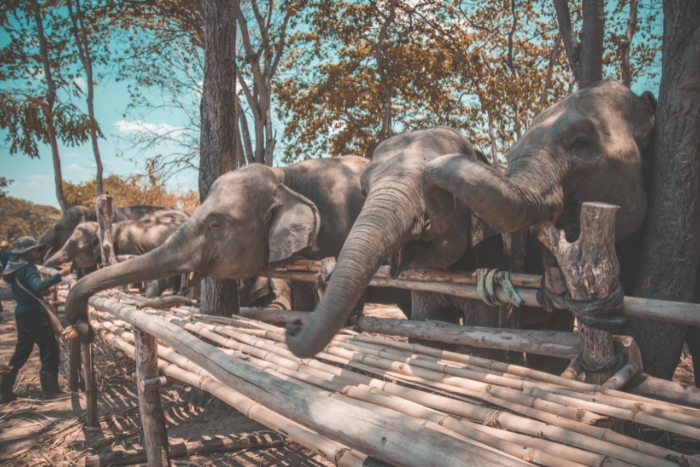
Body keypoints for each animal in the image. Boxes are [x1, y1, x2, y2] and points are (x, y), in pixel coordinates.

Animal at [284, 80, 656, 368]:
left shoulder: (496, 250)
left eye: (581, 143)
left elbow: (483, 335)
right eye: (363, 190)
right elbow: (428, 330)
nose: (292, 328)